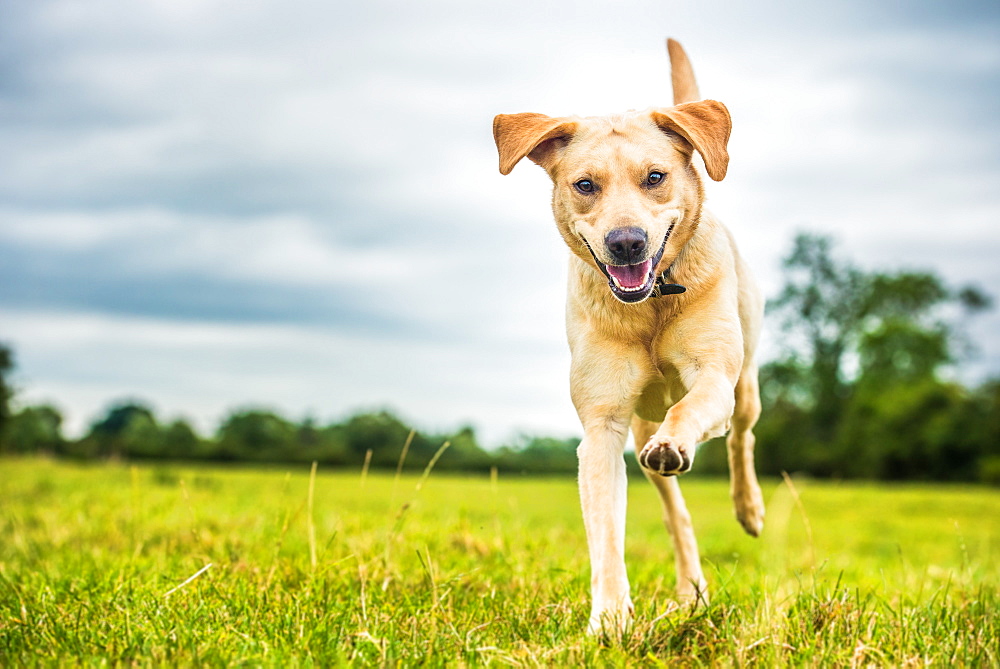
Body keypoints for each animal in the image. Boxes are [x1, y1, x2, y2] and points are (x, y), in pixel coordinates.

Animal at [492, 39, 764, 636]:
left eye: (655, 177)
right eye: (585, 185)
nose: (626, 242)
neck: (652, 304)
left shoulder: (713, 376)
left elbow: (693, 407)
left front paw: (679, 442)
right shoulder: (603, 426)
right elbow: (605, 535)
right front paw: (610, 620)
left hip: (747, 376)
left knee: (740, 434)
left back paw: (748, 507)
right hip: (639, 431)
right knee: (676, 512)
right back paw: (692, 592)